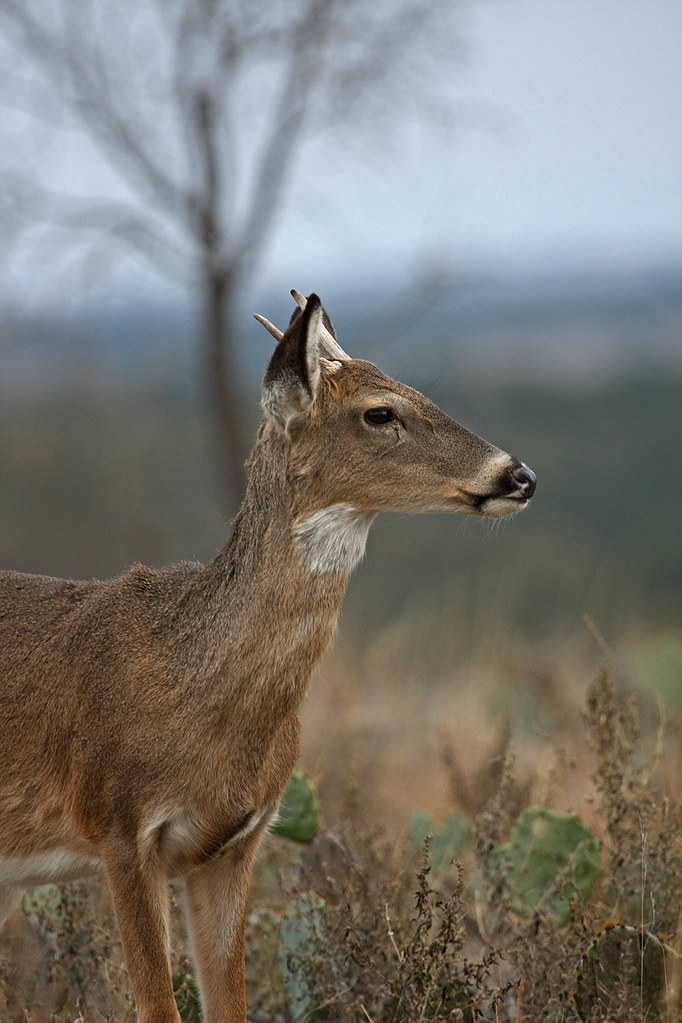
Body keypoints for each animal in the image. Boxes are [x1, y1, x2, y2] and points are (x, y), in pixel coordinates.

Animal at [0, 291, 536, 1022]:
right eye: (380, 411)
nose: (519, 475)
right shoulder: (119, 828)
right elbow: (159, 1007)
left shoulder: (234, 845)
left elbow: (230, 1006)